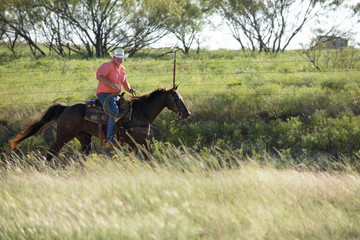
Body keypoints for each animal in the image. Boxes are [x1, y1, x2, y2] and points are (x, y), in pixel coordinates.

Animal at [9, 85, 190, 160]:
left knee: (83, 156)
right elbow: (149, 157)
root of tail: (65, 108)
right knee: (51, 153)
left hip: (84, 138)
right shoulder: (139, 140)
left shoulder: (132, 143)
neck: (141, 112)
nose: (187, 113)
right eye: (176, 98)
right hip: (63, 137)